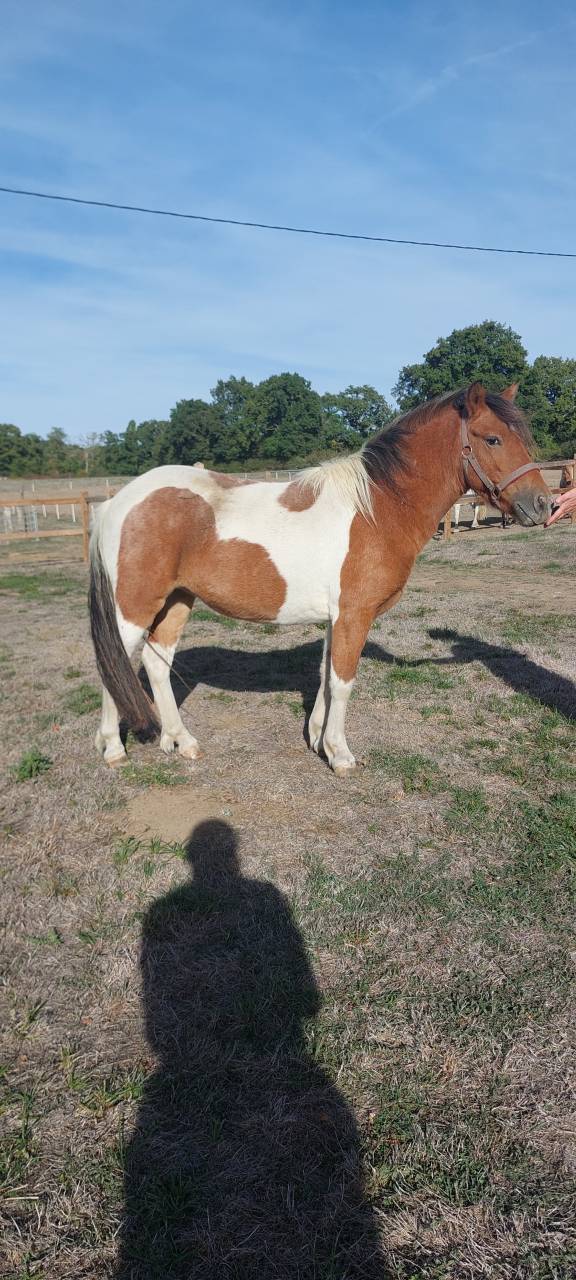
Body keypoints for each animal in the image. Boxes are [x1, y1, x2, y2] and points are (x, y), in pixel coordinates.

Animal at [89, 382, 551, 776]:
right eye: (492, 439)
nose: (542, 504)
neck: (377, 509)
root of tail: (117, 502)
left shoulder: (336, 618)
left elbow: (326, 678)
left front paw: (316, 740)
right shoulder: (354, 615)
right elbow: (343, 683)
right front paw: (340, 755)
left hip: (177, 600)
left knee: (156, 663)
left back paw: (181, 741)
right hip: (134, 608)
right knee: (114, 664)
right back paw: (113, 749)